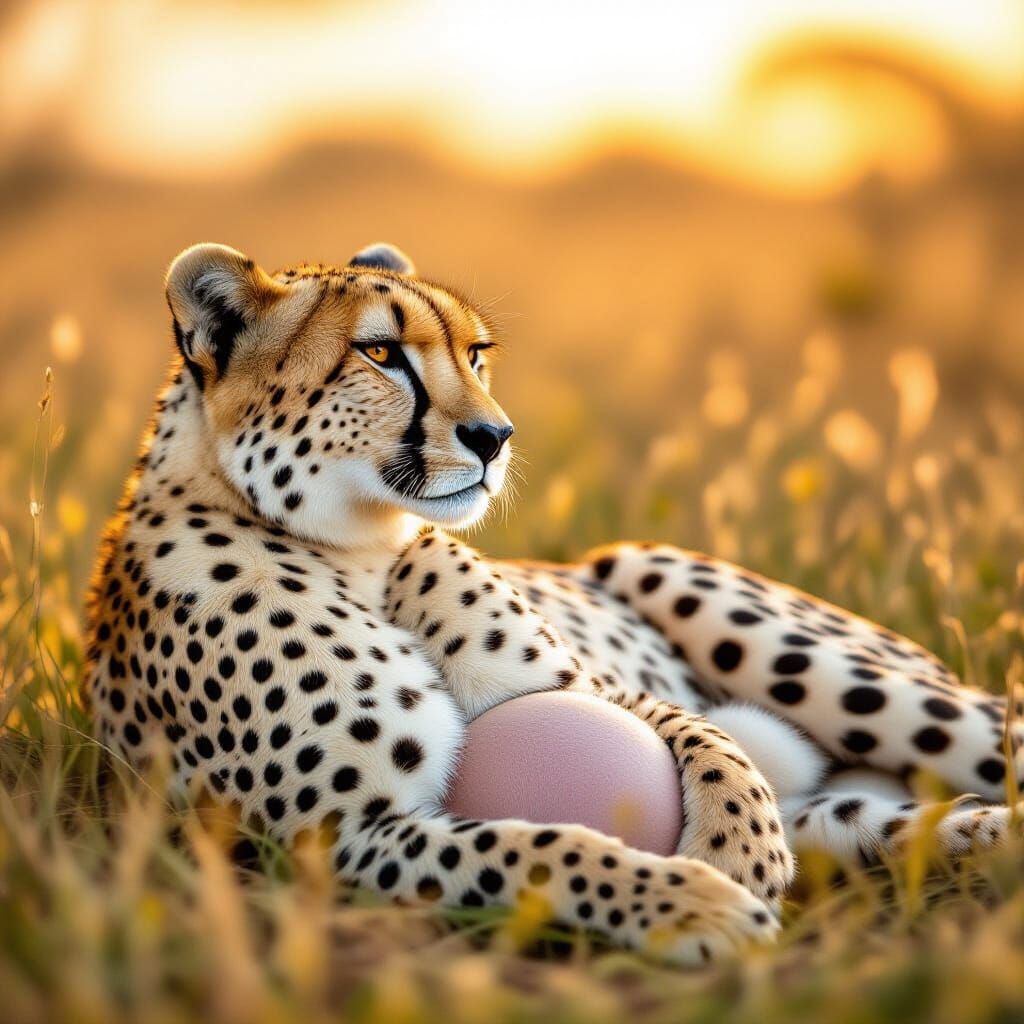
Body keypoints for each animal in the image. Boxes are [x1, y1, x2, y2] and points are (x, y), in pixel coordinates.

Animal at [84, 241, 1024, 966]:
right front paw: (693, 904)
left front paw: (735, 850)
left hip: (704, 597)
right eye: (380, 354)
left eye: (476, 354)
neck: (362, 550)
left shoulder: (594, 692)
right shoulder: (348, 840)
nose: (494, 437)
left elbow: (708, 741)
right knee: (893, 821)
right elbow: (536, 847)